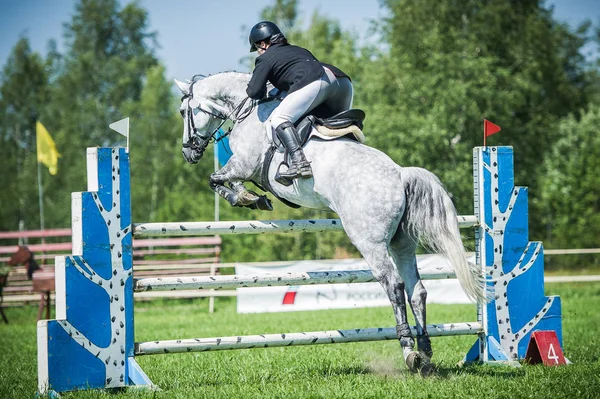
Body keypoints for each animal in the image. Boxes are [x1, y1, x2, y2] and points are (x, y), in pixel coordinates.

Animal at [173, 72, 488, 376]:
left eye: (182, 111)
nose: (188, 153)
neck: (248, 109)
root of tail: (400, 174)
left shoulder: (243, 164)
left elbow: (216, 179)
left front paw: (246, 197)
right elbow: (223, 180)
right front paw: (253, 197)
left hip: (369, 241)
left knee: (394, 285)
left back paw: (409, 351)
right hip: (402, 244)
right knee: (417, 290)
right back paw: (425, 354)